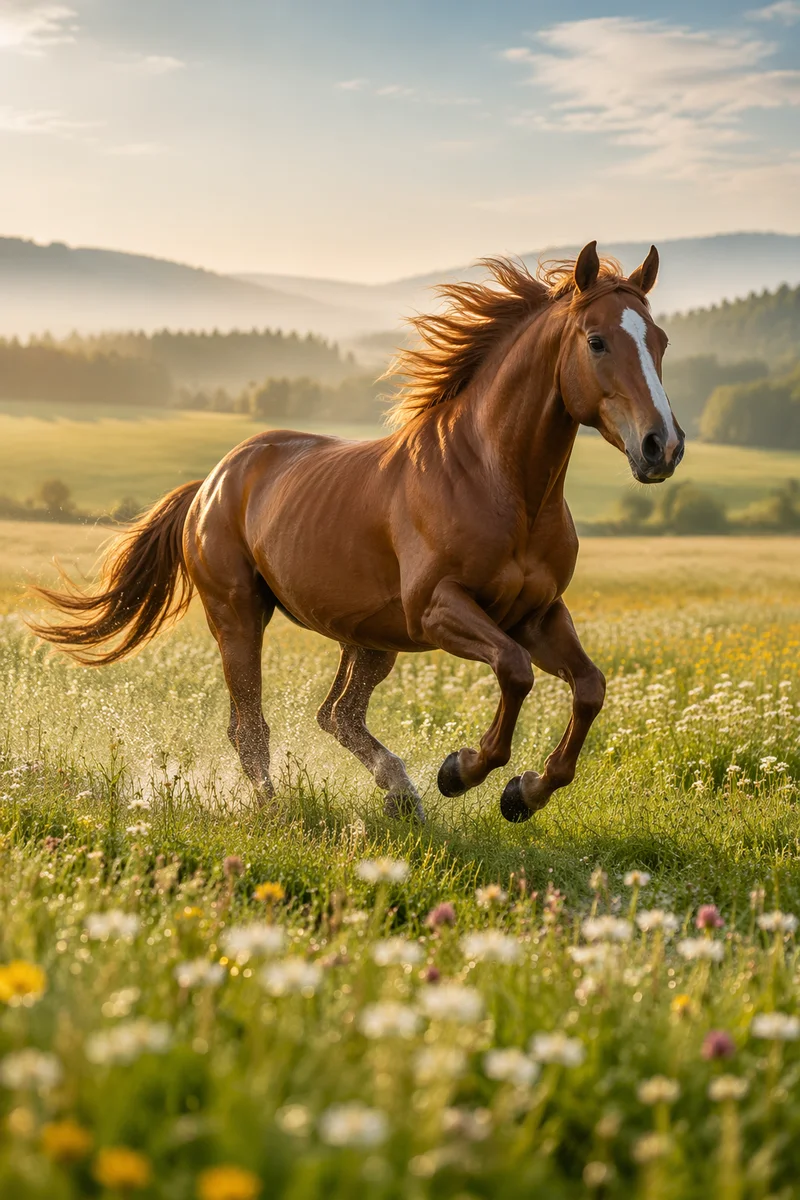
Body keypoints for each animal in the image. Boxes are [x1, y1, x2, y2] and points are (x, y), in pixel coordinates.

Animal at [29, 241, 684, 824]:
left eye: (660, 341)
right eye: (597, 340)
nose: (663, 447)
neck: (499, 483)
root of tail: (212, 481)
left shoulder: (538, 613)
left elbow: (590, 687)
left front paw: (523, 794)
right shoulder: (438, 609)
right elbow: (515, 670)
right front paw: (461, 771)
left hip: (370, 638)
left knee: (337, 715)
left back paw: (400, 795)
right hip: (239, 615)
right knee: (251, 725)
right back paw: (276, 810)